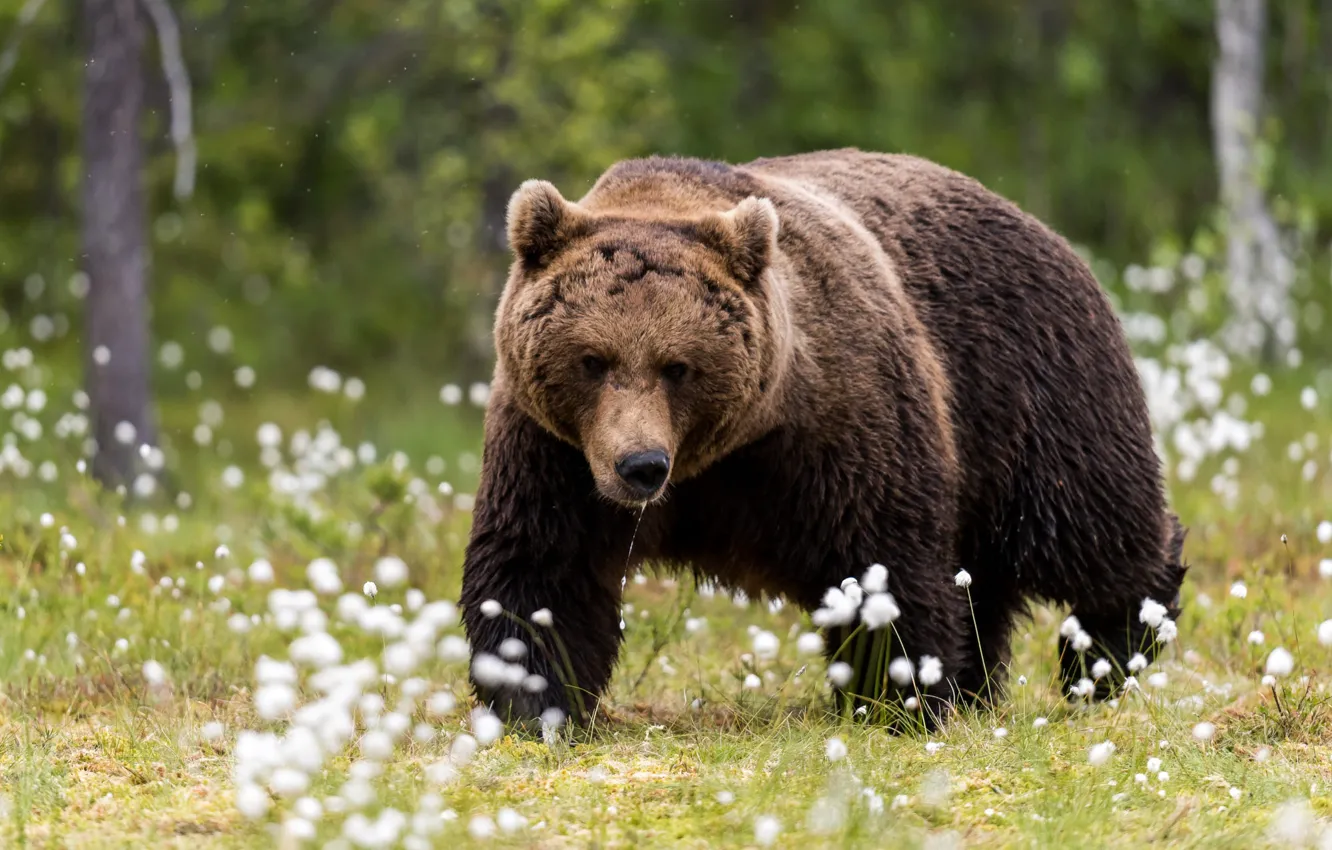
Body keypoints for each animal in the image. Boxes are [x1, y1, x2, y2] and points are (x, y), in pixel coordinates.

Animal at [458, 148, 1188, 731]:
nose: (641, 466)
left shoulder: (834, 424)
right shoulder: (553, 451)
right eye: (593, 359)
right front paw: (530, 701)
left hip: (1026, 387)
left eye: (678, 365)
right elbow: (543, 571)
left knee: (1085, 527)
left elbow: (881, 560)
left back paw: (1107, 653)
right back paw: (984, 683)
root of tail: (1042, 227)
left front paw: (895, 697)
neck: (715, 459)